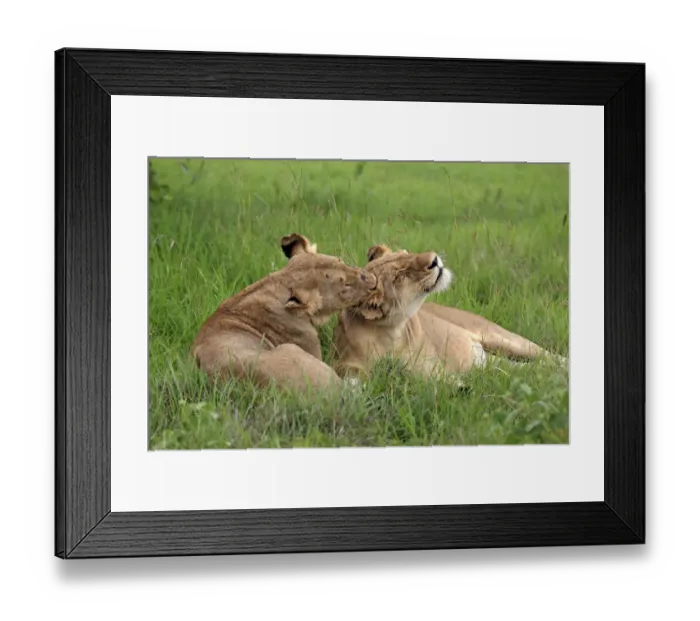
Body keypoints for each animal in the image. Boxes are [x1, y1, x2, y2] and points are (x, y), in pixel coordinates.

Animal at [331, 243, 567, 382]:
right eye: (400, 275)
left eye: (405, 254)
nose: (435, 260)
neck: (390, 334)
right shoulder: (347, 361)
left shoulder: (435, 367)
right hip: (491, 364)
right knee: (531, 368)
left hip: (506, 340)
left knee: (551, 357)